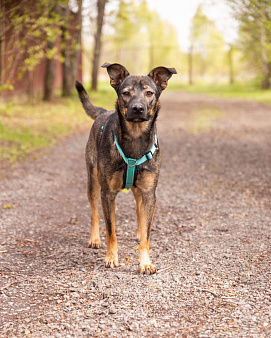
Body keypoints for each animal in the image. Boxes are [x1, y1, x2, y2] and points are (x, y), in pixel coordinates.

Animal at [75, 62, 177, 274]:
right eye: (126, 93)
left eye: (149, 93)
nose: (137, 108)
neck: (135, 139)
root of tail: (103, 112)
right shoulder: (107, 193)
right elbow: (111, 230)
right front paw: (111, 257)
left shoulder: (149, 192)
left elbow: (146, 232)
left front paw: (145, 262)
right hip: (93, 180)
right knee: (94, 212)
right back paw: (94, 239)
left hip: (139, 190)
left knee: (139, 210)